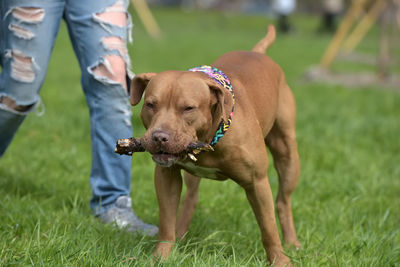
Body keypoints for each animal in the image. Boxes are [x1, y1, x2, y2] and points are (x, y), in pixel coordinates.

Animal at [129, 25, 300, 267]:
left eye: (188, 108)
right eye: (151, 105)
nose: (159, 137)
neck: (208, 138)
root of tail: (257, 52)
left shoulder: (257, 183)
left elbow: (268, 227)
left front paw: (280, 260)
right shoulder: (166, 176)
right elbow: (166, 221)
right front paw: (161, 256)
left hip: (288, 156)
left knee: (283, 201)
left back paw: (292, 243)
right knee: (190, 198)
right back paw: (181, 235)